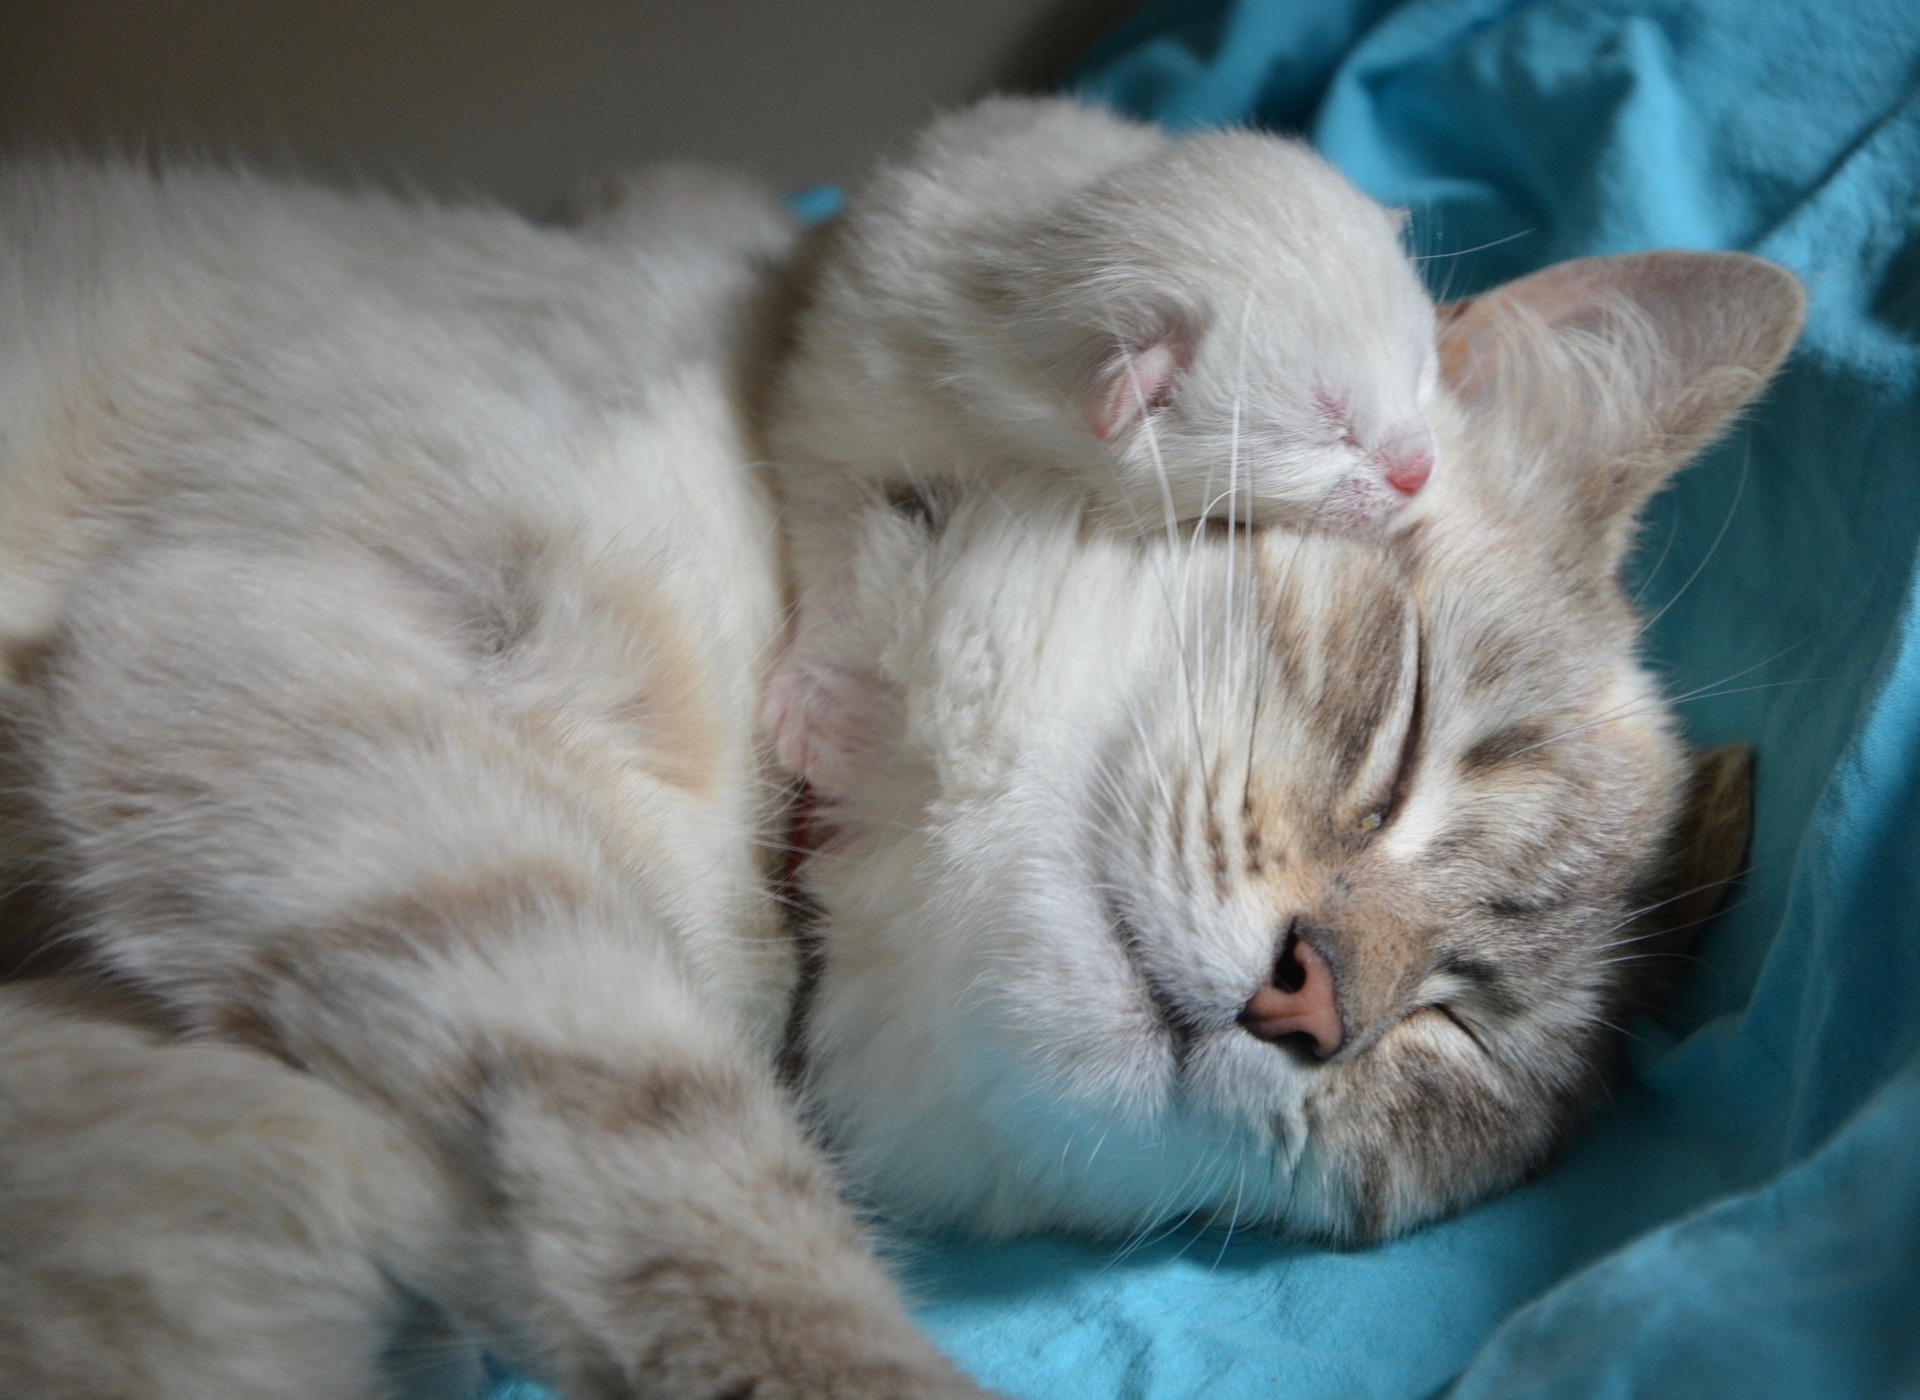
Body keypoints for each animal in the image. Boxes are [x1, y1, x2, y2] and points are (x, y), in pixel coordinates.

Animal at [764, 95, 1443, 798]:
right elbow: (832, 530)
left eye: (1419, 372)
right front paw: (827, 703)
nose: (1419, 469)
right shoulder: (854, 385)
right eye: (1330, 429)